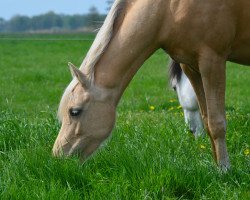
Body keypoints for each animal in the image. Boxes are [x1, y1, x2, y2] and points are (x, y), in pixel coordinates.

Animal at [51, 0, 249, 170]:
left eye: (74, 111)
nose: (58, 155)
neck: (170, 9)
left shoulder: (212, 61)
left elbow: (217, 123)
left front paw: (224, 170)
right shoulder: (191, 66)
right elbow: (207, 121)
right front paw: (217, 167)